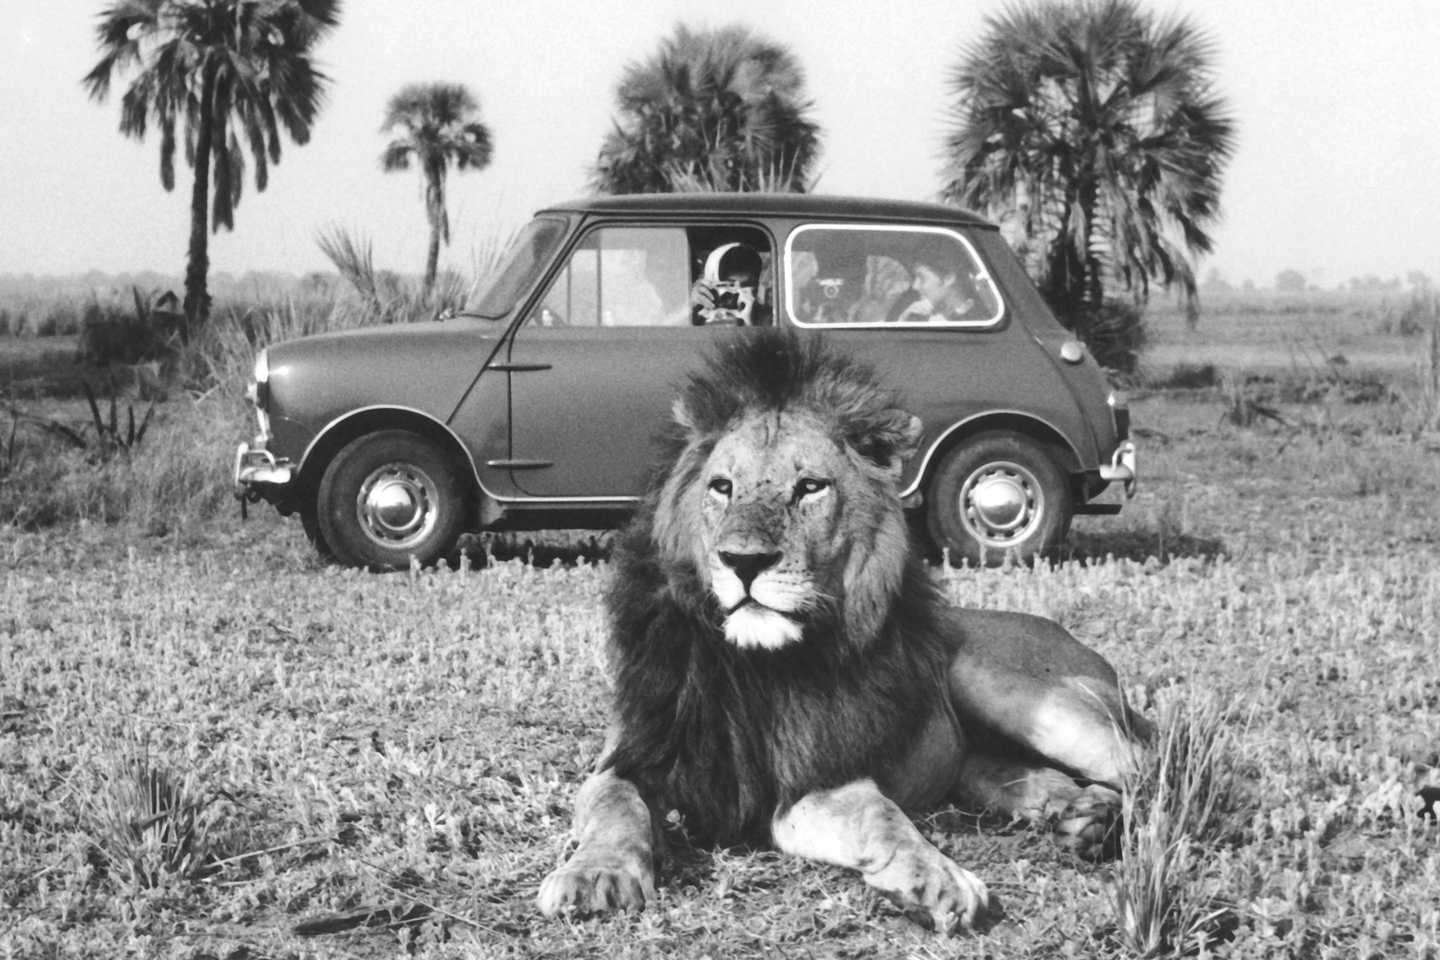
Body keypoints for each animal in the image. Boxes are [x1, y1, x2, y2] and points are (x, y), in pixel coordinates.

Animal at [537, 330, 1150, 932]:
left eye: (810, 487)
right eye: (722, 487)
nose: (743, 561)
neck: (757, 664)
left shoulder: (820, 778)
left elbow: (881, 815)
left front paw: (935, 879)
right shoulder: (631, 756)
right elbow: (616, 805)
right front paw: (595, 875)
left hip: (999, 680)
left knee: (1154, 763)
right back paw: (1084, 818)